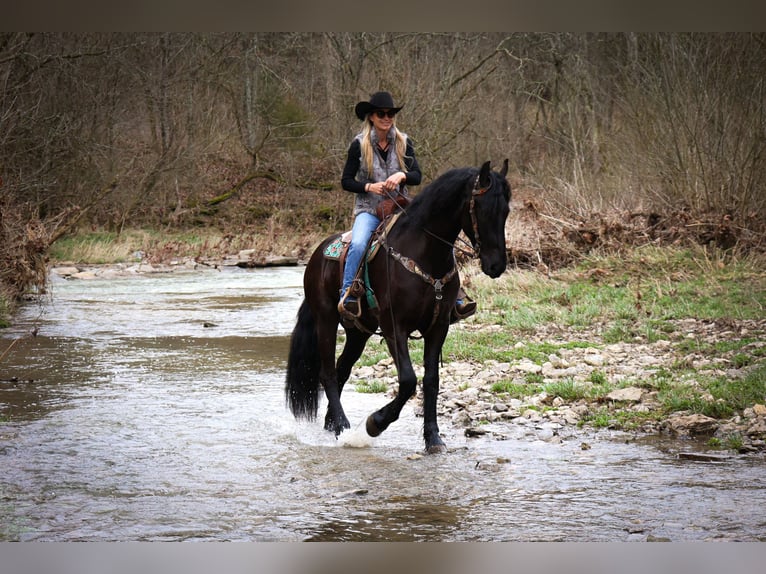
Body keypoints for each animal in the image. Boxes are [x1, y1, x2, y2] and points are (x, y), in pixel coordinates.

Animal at [284, 161, 512, 454]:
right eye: (482, 209)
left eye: (506, 211)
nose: (496, 265)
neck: (423, 253)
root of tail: (315, 256)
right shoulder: (395, 328)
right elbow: (407, 381)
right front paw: (375, 423)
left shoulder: (438, 328)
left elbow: (431, 381)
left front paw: (433, 438)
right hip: (326, 319)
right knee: (328, 373)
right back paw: (341, 427)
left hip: (359, 332)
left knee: (342, 369)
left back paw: (332, 423)